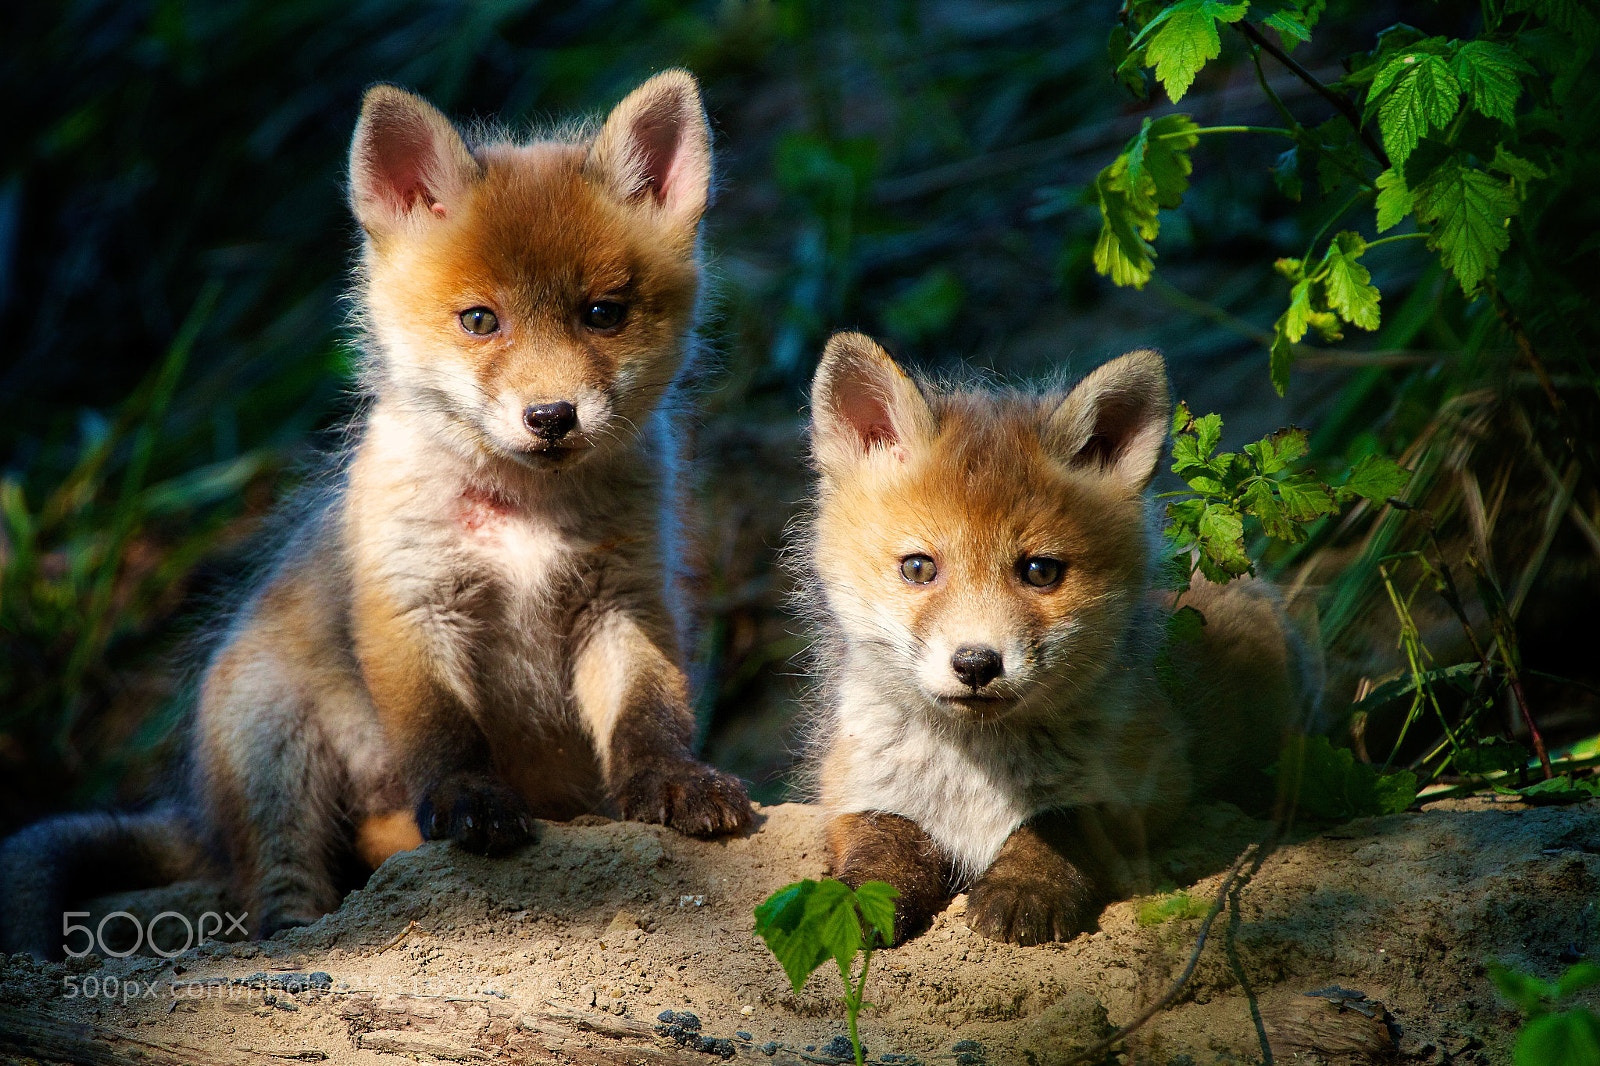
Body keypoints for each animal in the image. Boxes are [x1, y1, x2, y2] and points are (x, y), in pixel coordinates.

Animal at [0, 71, 753, 960]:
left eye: (602, 314)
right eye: (479, 320)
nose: (551, 417)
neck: (523, 516)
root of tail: (195, 812)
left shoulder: (623, 599)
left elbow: (650, 713)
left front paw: (675, 781)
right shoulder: (412, 603)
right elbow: (443, 733)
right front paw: (470, 804)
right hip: (274, 741)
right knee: (282, 887)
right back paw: (311, 931)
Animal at [800, 332, 1318, 946]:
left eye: (1040, 571)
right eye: (919, 568)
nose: (976, 664)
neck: (976, 772)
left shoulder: (1148, 784)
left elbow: (1060, 822)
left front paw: (1026, 884)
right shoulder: (849, 786)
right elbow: (883, 841)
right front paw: (857, 901)